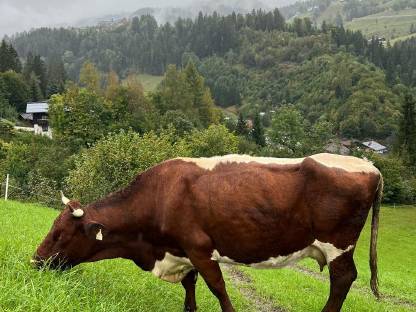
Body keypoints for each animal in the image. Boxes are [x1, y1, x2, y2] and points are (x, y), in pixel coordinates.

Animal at [33, 154, 384, 312]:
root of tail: (369, 165)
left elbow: (218, 288)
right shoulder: (181, 251)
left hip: (338, 245)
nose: (36, 261)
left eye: (60, 234)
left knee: (342, 280)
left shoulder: (199, 248)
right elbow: (190, 286)